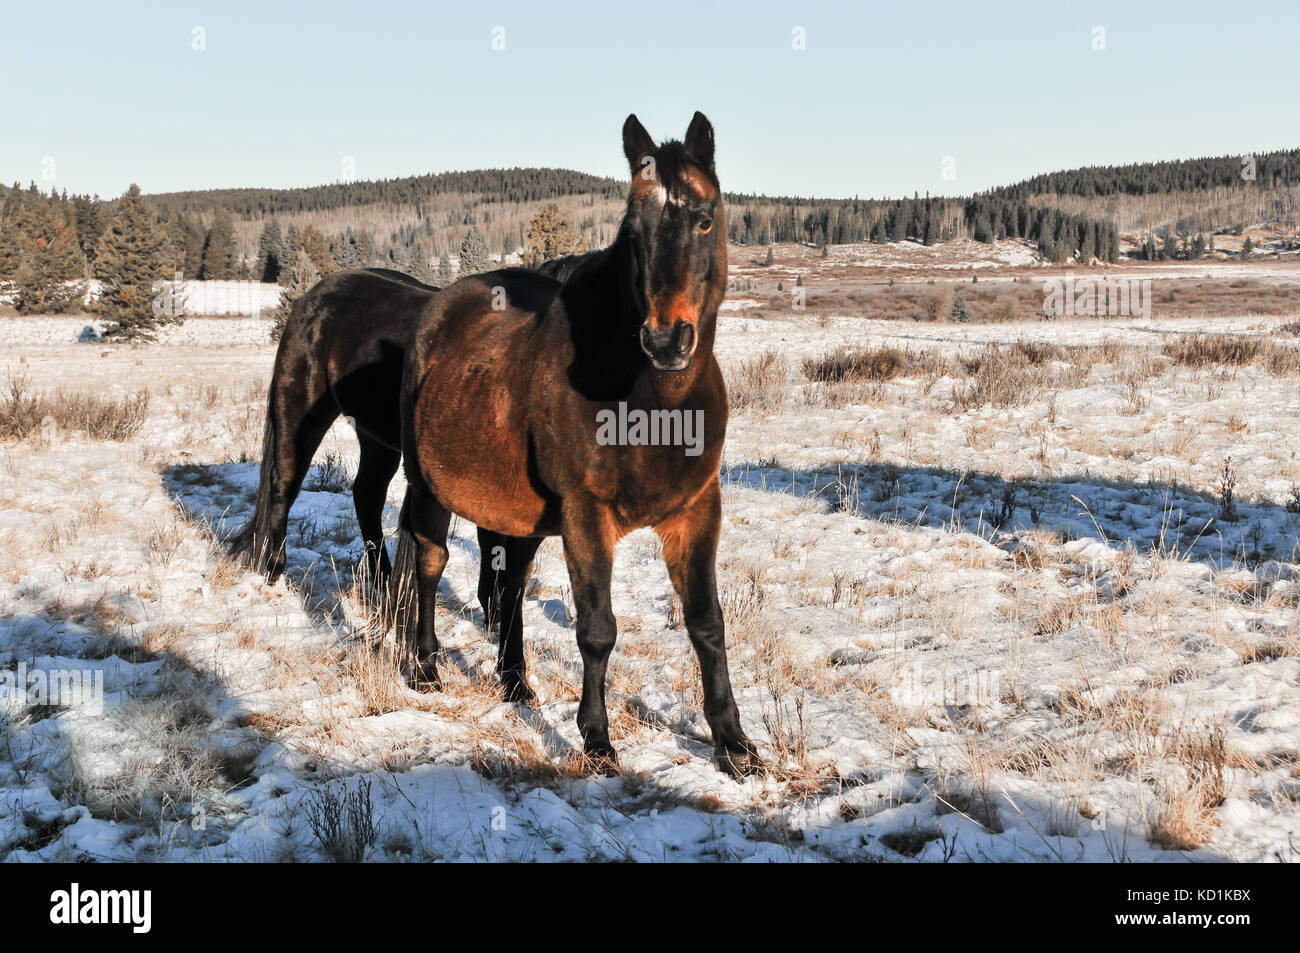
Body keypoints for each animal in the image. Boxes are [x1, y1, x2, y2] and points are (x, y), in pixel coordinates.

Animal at [395, 115, 759, 774]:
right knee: (429, 568)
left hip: (517, 515)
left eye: (704, 219)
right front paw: (597, 742)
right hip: (426, 486)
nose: (666, 340)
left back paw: (516, 684)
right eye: (632, 229)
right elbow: (596, 630)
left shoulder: (697, 511)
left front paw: (735, 744)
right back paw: (426, 669)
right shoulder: (586, 514)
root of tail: (440, 307)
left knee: (508, 590)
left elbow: (706, 625)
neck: (652, 400)